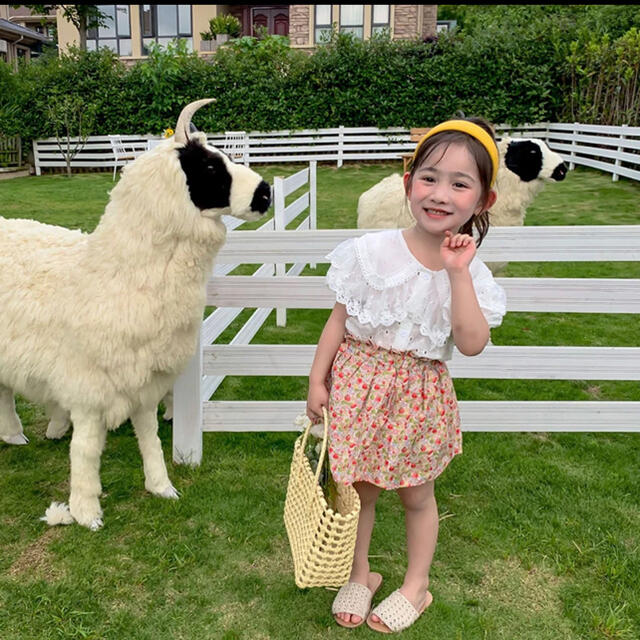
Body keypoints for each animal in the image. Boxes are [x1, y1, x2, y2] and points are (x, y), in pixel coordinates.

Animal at [0, 100, 272, 528]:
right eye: (209, 166)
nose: (266, 193)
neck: (112, 271)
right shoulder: (89, 386)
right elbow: (86, 449)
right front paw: (85, 511)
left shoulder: (143, 378)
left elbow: (150, 437)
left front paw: (161, 487)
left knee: (4, 392)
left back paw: (18, 433)